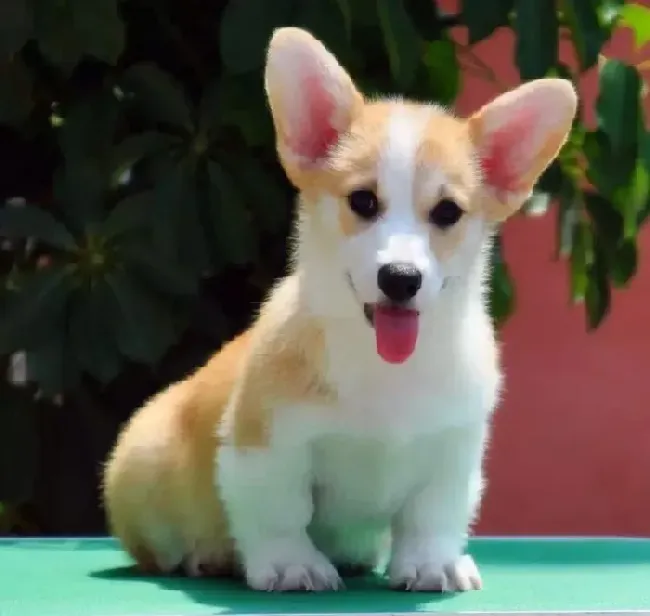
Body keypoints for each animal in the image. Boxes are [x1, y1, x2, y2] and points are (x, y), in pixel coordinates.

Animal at [102, 27, 576, 592]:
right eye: (363, 202)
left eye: (447, 212)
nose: (401, 279)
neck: (384, 367)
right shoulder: (267, 446)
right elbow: (280, 511)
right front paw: (293, 564)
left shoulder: (452, 450)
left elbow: (432, 515)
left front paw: (431, 563)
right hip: (144, 458)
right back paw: (208, 556)